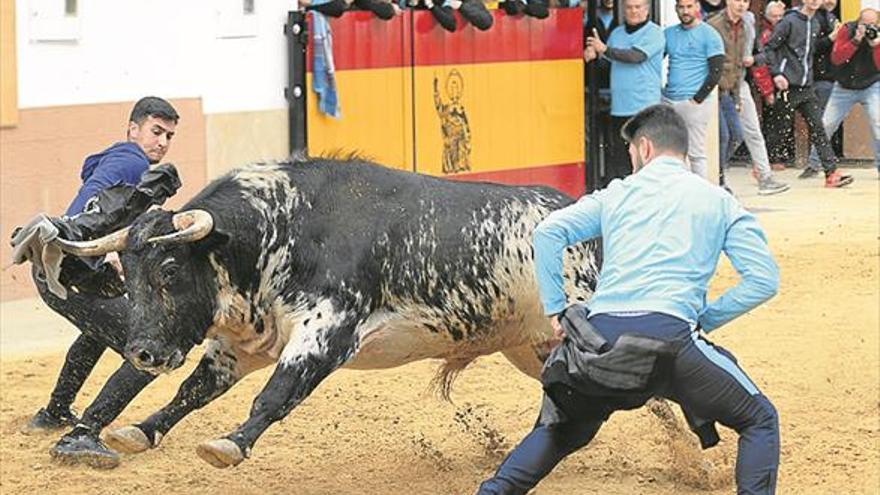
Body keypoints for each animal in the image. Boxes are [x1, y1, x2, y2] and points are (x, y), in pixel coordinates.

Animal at [56, 159, 604, 468]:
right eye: (127, 272)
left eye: (169, 270)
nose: (142, 353)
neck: (284, 227)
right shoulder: (244, 344)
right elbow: (194, 390)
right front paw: (141, 430)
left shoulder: (327, 334)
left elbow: (274, 396)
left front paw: (229, 445)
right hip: (530, 347)